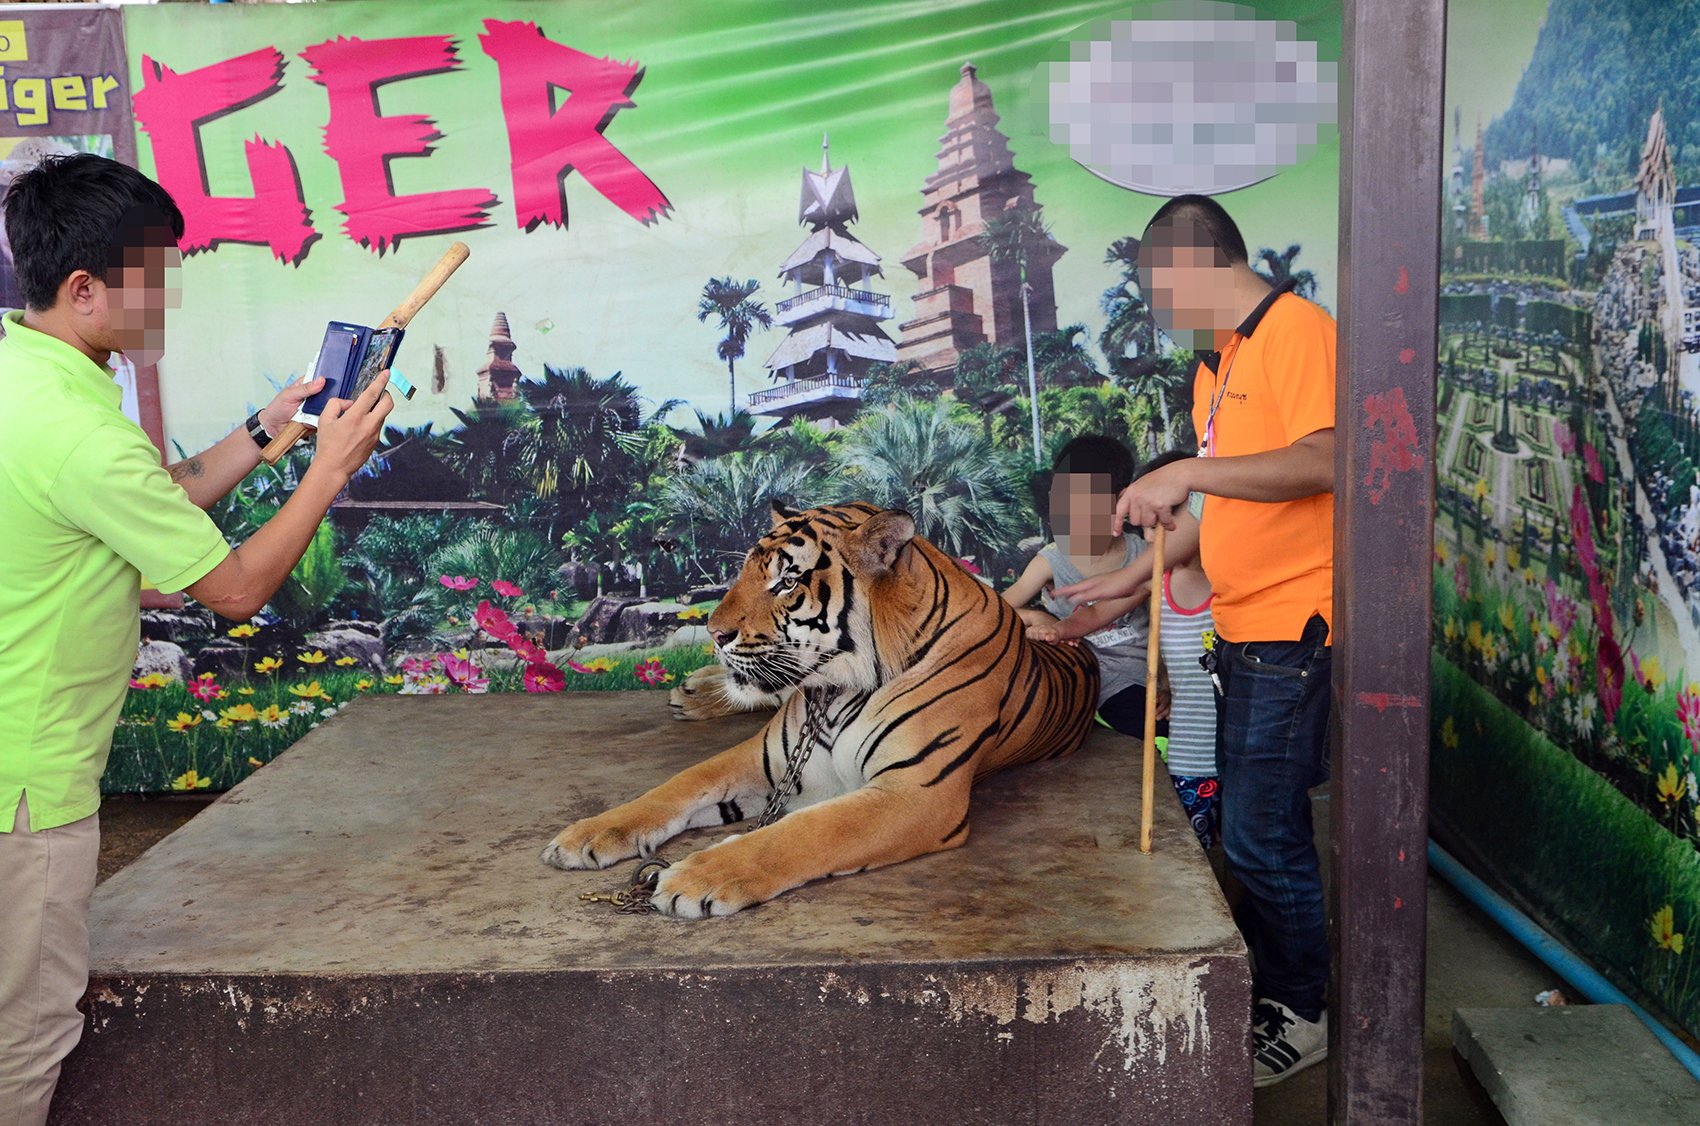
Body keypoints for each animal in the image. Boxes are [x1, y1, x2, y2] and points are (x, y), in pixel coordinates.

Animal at [540, 503, 1101, 918]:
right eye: (744, 572)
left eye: (787, 582)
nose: (715, 635)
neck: (834, 690)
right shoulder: (764, 757)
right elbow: (678, 785)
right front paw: (586, 834)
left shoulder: (916, 792)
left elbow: (801, 833)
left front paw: (695, 878)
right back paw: (697, 691)